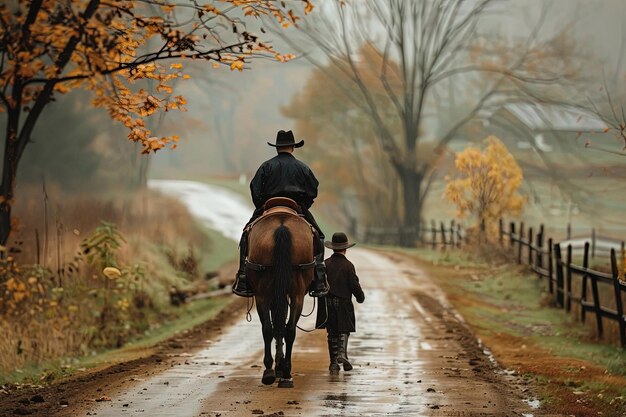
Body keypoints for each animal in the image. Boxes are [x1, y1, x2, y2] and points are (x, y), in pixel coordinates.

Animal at [245, 198, 314, 386]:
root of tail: (282, 225)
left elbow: (275, 326)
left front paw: (277, 365)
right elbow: (281, 325)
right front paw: (280, 365)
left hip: (264, 294)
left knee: (269, 329)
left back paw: (271, 371)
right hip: (296, 294)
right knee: (289, 329)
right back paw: (285, 373)